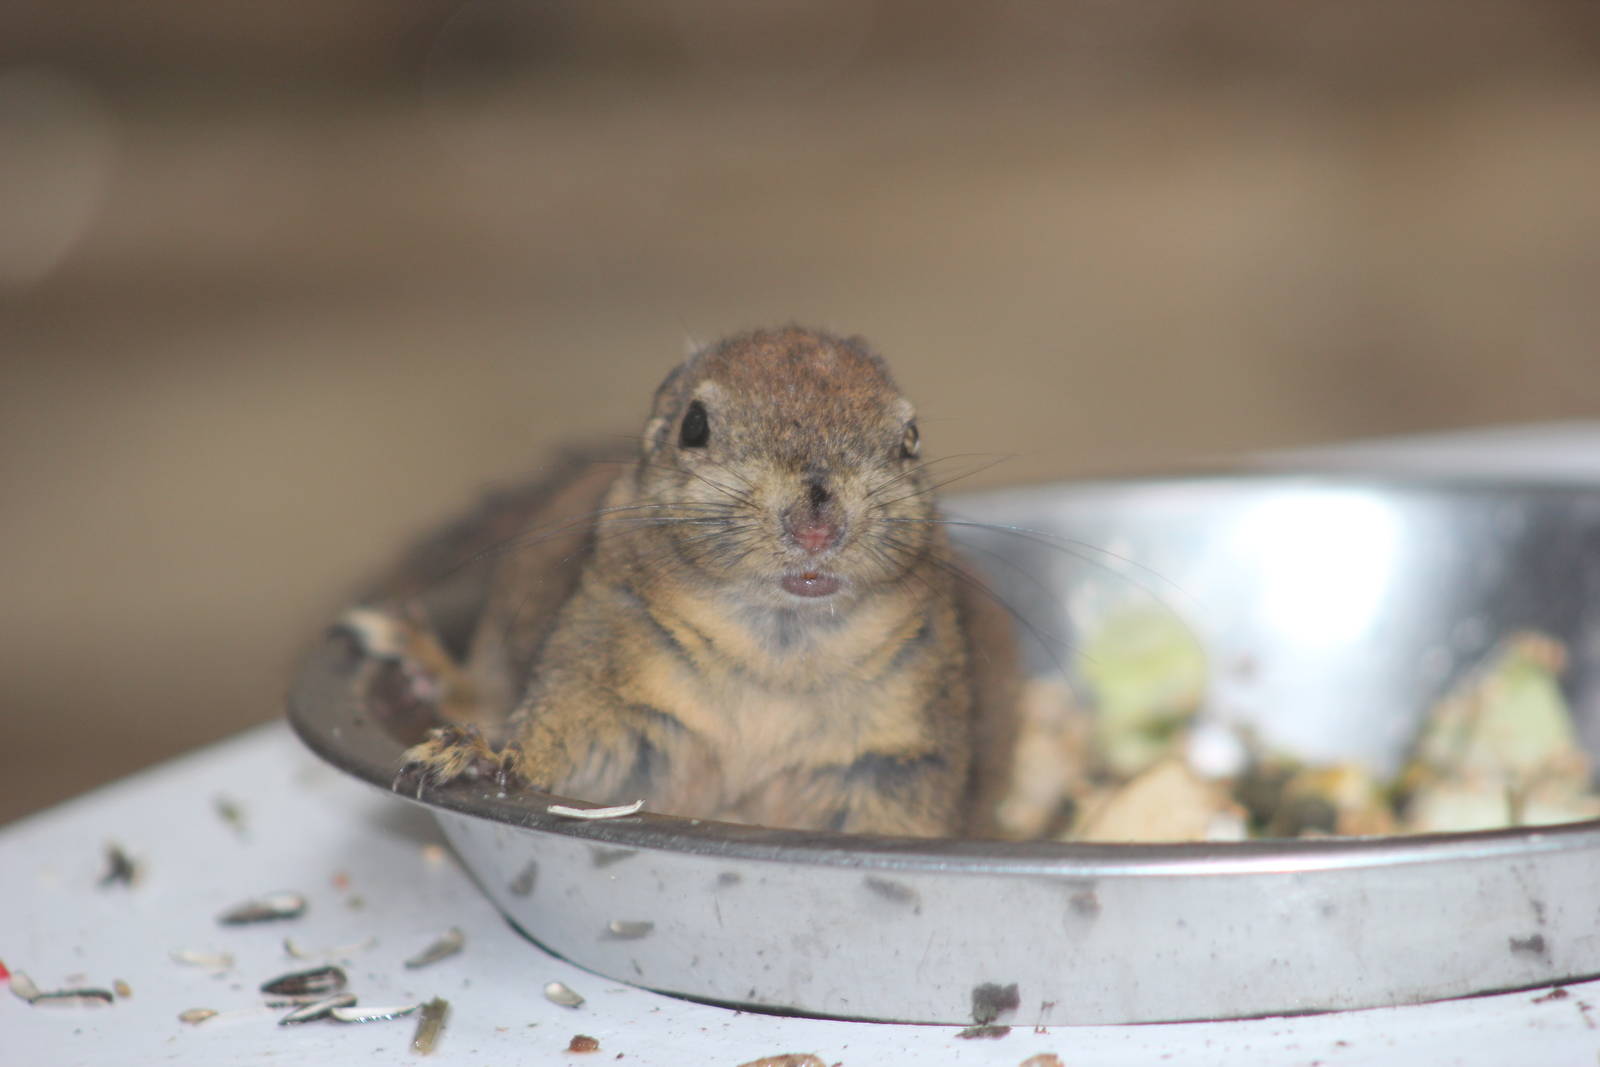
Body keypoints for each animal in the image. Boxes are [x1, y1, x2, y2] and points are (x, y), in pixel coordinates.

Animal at [342, 327, 1019, 837]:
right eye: (694, 426)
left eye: (910, 438)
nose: (817, 526)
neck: (777, 649)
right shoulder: (602, 688)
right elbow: (559, 744)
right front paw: (483, 757)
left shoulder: (896, 757)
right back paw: (420, 664)